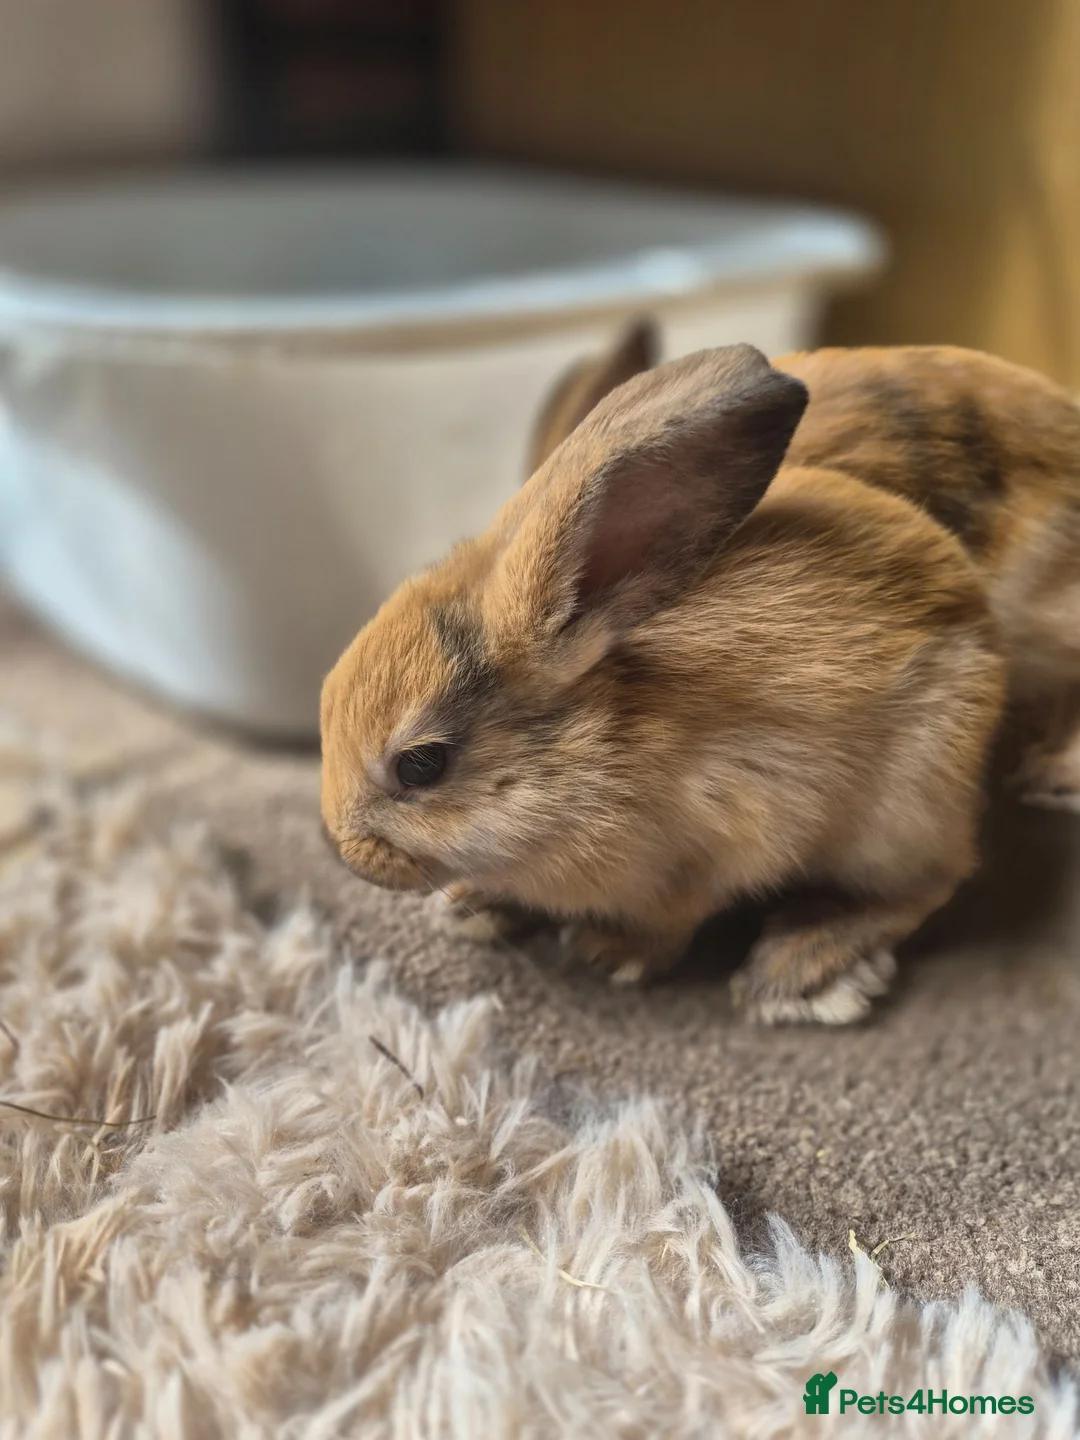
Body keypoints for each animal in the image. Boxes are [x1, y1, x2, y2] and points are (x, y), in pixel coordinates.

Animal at [321, 323, 1008, 1023]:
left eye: (420, 765)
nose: (344, 851)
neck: (588, 751)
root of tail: (980, 631)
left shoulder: (719, 848)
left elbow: (673, 917)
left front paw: (611, 953)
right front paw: (470, 908)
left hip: (901, 816)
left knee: (928, 884)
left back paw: (796, 969)